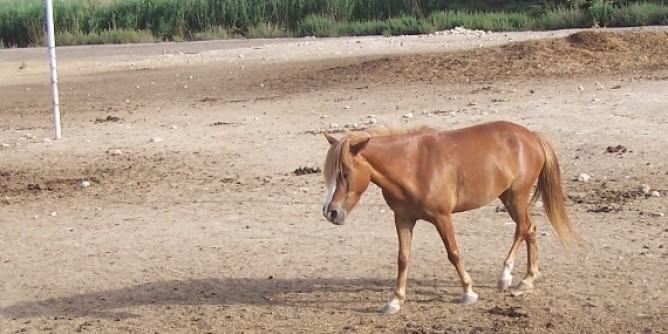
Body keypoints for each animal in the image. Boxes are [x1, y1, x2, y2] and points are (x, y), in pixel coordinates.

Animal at [320, 120, 580, 316]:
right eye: (330, 173)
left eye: (345, 173)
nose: (330, 212)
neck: (411, 166)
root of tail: (532, 136)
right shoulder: (403, 219)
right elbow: (403, 259)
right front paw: (395, 301)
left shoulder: (442, 217)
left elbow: (453, 253)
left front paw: (468, 291)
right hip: (508, 197)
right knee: (530, 229)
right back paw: (527, 278)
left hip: (516, 196)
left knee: (524, 228)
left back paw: (506, 275)